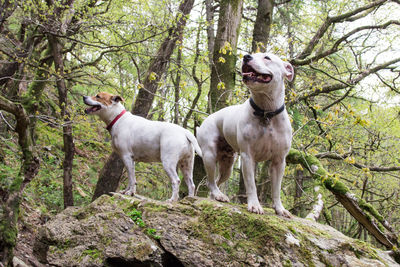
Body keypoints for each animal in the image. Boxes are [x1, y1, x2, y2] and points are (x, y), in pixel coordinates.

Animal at [197, 52, 294, 218]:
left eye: (267, 57)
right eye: (253, 54)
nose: (246, 57)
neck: (266, 112)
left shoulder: (279, 161)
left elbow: (276, 189)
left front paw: (280, 209)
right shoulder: (248, 157)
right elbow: (251, 184)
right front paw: (254, 205)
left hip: (227, 166)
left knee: (217, 180)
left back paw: (216, 196)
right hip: (209, 155)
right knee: (211, 181)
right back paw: (218, 194)